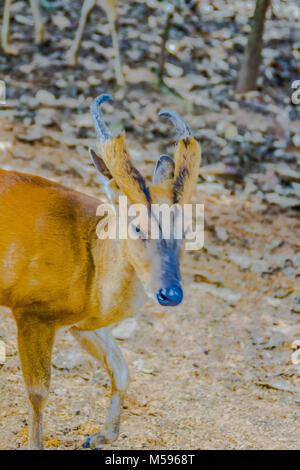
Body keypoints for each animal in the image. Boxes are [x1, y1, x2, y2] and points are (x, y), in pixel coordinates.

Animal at [0, 93, 202, 450]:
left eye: (187, 229)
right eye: (137, 227)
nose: (170, 293)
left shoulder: (81, 322)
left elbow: (121, 368)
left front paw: (100, 436)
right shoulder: (31, 311)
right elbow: (38, 391)